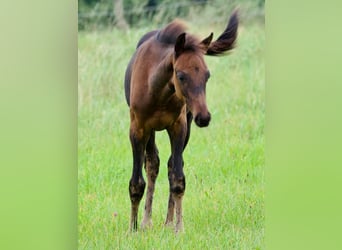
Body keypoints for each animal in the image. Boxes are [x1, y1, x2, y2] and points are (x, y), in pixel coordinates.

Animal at [124, 9, 239, 232]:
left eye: (207, 75)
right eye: (181, 75)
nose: (204, 117)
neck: (158, 90)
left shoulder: (179, 126)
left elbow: (177, 178)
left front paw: (178, 228)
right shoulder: (138, 128)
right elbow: (137, 182)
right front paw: (132, 229)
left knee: (169, 165)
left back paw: (167, 222)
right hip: (151, 132)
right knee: (152, 164)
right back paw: (146, 221)